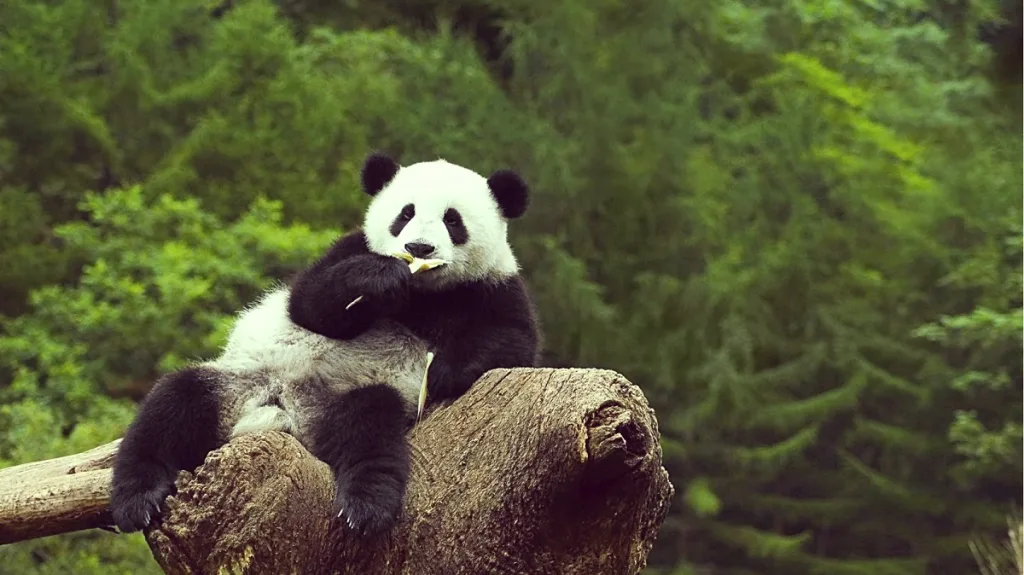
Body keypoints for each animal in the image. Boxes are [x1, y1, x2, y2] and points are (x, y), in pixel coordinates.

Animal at [109, 152, 542, 536]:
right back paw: (138, 499)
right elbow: (309, 303)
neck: (423, 291)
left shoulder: (493, 286)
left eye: (453, 220)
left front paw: (444, 372)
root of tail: (284, 411)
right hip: (238, 382)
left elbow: (512, 341)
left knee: (369, 427)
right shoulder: (349, 249)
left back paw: (366, 506)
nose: (418, 248)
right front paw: (379, 278)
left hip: (345, 398)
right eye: (405, 214)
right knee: (173, 404)